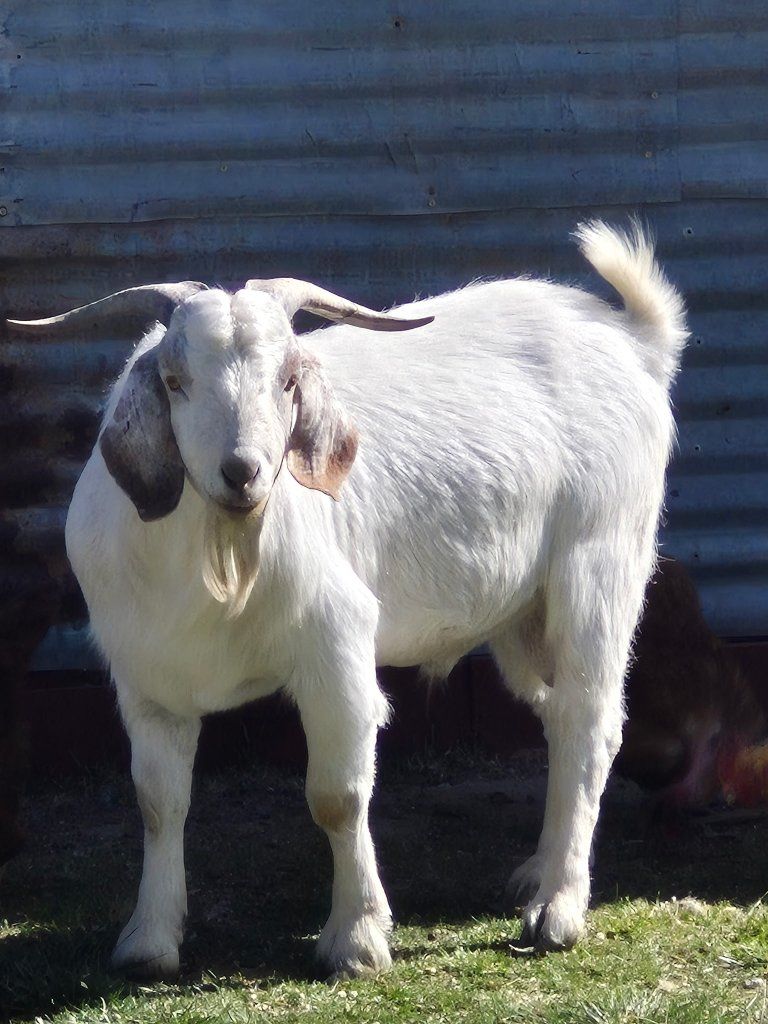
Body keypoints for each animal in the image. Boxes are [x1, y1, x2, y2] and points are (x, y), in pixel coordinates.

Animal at [8, 221, 687, 979]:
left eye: (288, 381)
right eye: (176, 382)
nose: (243, 472)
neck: (219, 562)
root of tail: (633, 340)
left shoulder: (334, 648)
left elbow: (336, 796)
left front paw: (357, 939)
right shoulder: (146, 679)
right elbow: (159, 802)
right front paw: (148, 941)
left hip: (598, 564)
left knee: (591, 722)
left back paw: (557, 911)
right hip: (523, 614)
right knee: (556, 716)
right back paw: (538, 874)